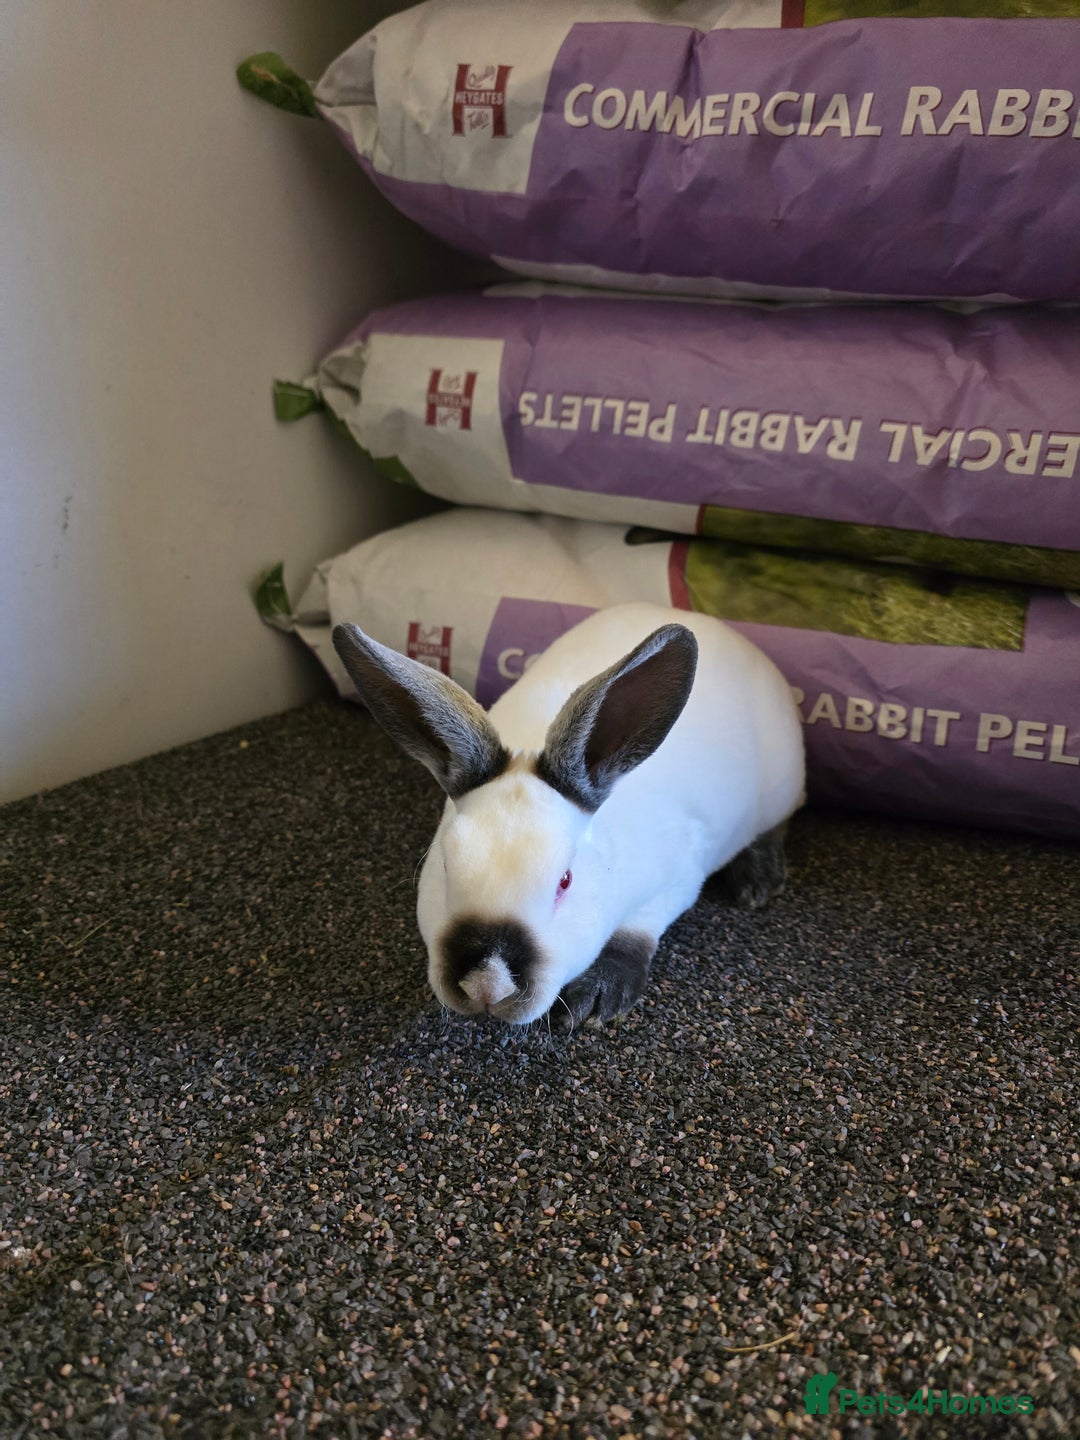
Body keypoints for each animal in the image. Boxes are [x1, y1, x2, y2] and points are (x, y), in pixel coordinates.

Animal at [332, 601, 805, 1029]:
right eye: (445, 867)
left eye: (565, 881)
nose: (487, 986)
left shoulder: (678, 880)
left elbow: (636, 934)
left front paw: (597, 997)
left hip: (782, 787)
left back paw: (758, 880)